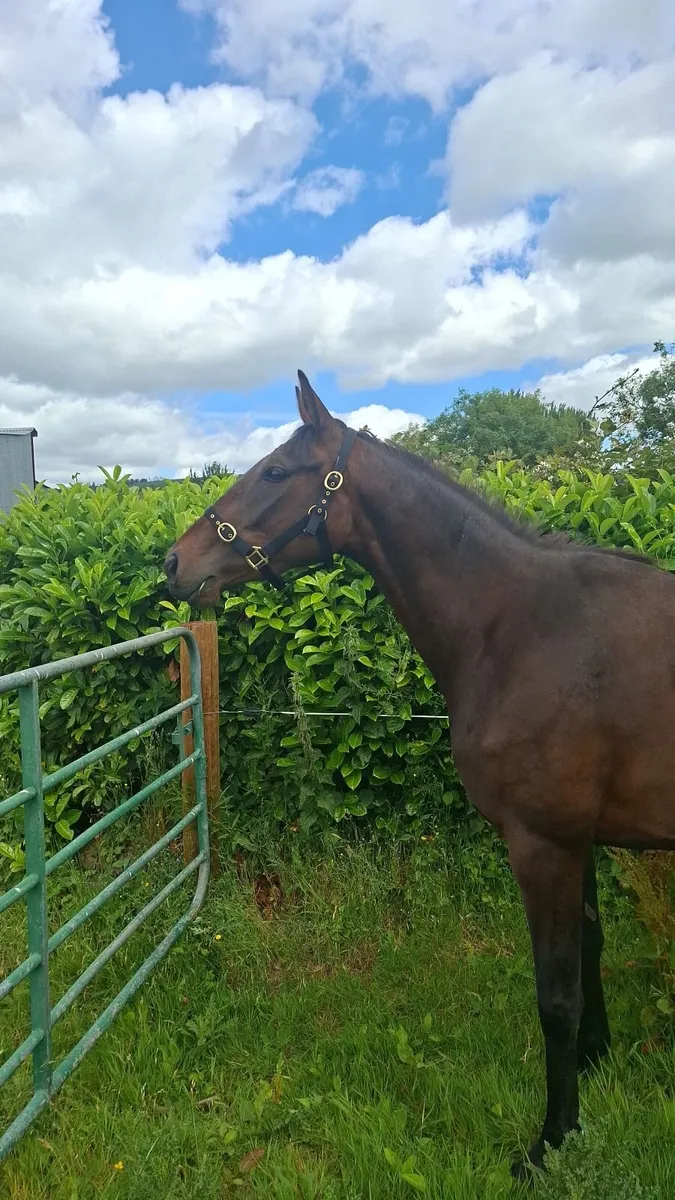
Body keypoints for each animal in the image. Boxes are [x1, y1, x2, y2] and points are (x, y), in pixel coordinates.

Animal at [164, 369, 675, 1178]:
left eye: (276, 472)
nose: (173, 563)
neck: (523, 627)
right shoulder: (578, 840)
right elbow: (588, 954)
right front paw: (595, 1067)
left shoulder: (544, 843)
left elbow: (554, 995)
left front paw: (551, 1139)